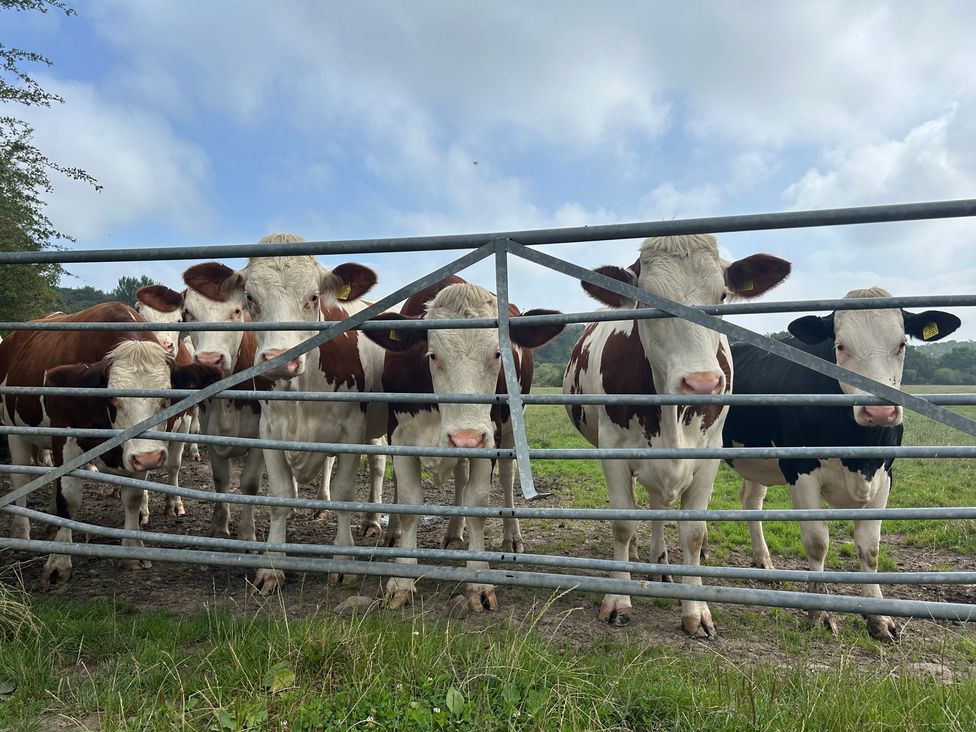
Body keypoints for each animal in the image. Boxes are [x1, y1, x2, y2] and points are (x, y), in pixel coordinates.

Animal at [0, 302, 220, 585]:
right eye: (114, 399)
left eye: (166, 399)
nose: (149, 458)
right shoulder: (65, 438)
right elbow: (68, 498)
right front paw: (58, 561)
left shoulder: (139, 452)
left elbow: (133, 497)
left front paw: (133, 549)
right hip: (15, 431)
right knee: (20, 480)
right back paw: (21, 533)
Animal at [187, 233, 387, 594]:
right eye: (250, 299)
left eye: (313, 297)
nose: (280, 359)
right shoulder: (268, 430)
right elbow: (279, 493)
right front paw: (271, 567)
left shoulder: (351, 429)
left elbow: (345, 492)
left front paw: (343, 559)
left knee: (379, 463)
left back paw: (375, 521)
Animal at [363, 277, 564, 611]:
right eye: (432, 355)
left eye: (497, 353)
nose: (465, 438)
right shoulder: (400, 436)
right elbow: (409, 503)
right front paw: (401, 579)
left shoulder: (488, 438)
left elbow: (478, 502)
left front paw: (478, 580)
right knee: (458, 476)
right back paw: (447, 534)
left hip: (509, 425)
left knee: (507, 477)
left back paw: (511, 537)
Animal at [563, 234, 791, 636]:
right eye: (646, 300)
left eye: (721, 295)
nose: (701, 383)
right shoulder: (613, 449)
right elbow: (622, 523)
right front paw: (618, 599)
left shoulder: (709, 452)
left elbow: (694, 532)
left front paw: (695, 609)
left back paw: (660, 559)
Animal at [723, 287, 961, 641]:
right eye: (840, 345)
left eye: (901, 344)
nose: (879, 411)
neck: (859, 452)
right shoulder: (800, 470)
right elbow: (817, 541)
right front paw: (820, 612)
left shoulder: (885, 474)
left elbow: (870, 548)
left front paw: (879, 618)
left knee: (750, 501)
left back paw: (763, 562)